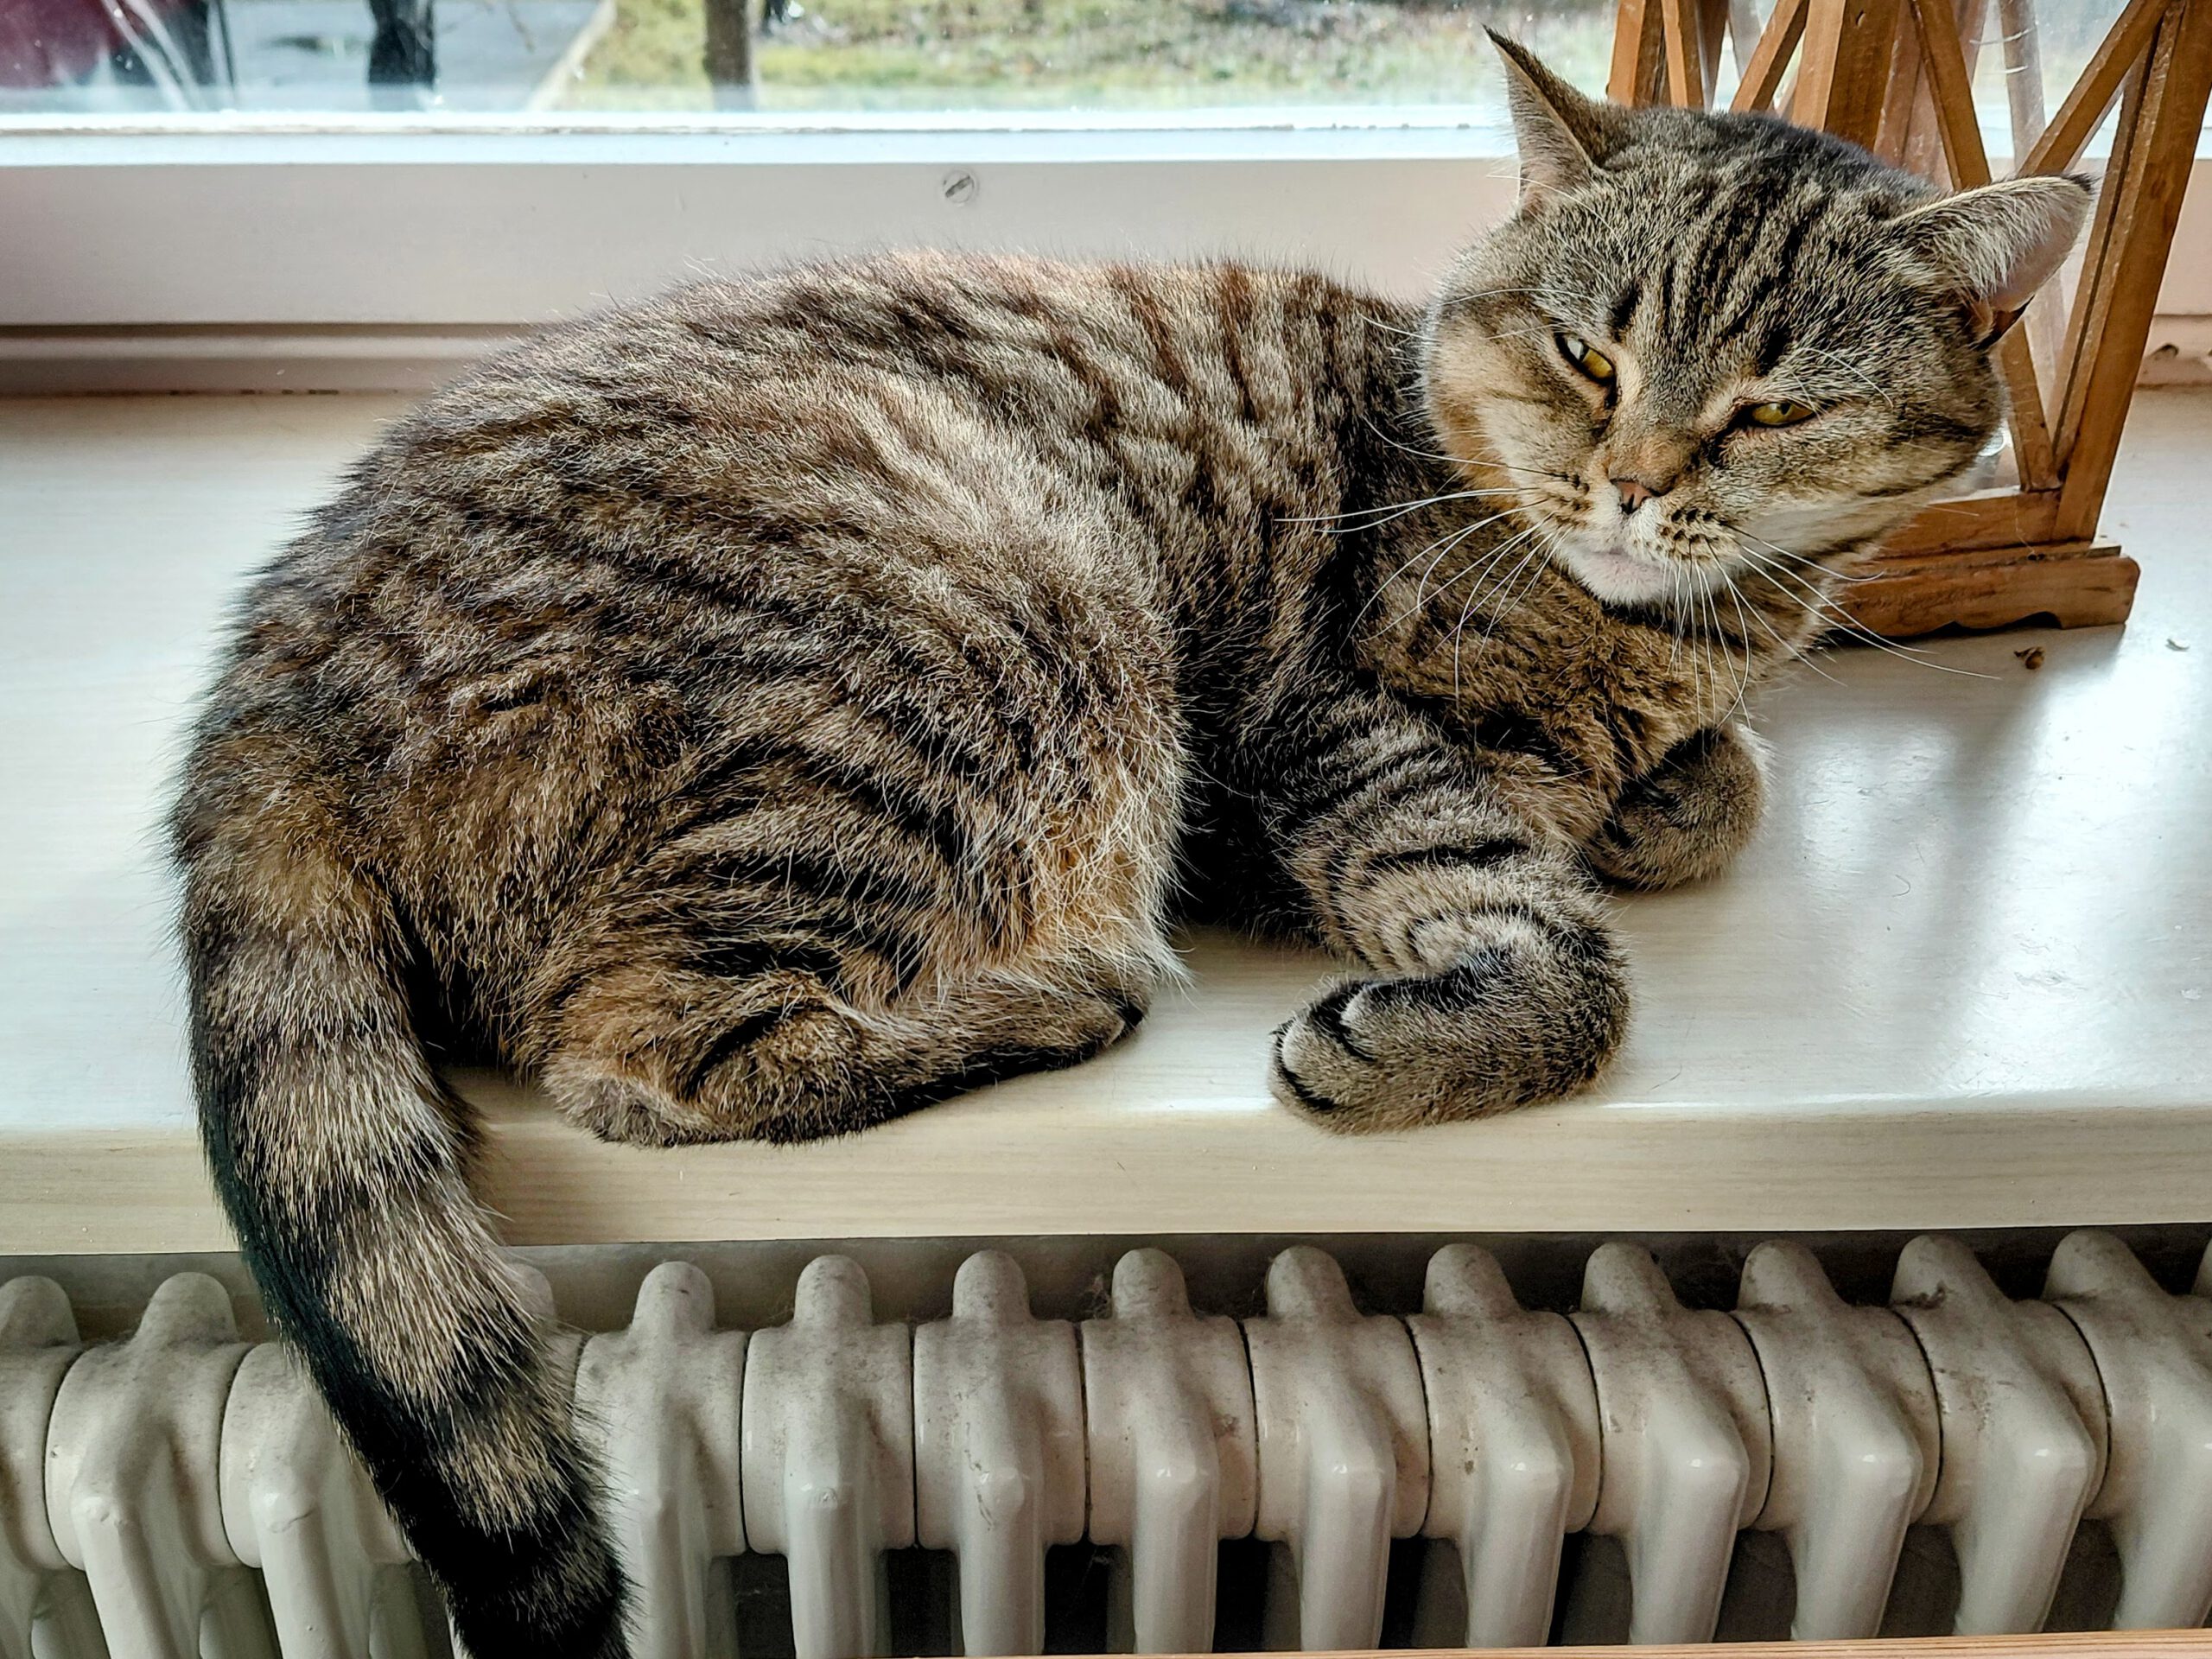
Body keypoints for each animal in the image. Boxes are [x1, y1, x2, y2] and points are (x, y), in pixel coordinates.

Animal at [171, 37, 2087, 1657]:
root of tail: (266, 684)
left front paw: (1666, 791)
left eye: (1771, 411)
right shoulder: (1321, 736)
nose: (1628, 482)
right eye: (1586, 355)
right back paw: (1055, 1000)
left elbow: (1719, 785)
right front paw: (1476, 989)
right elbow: (1536, 928)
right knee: (636, 1050)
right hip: (1001, 634)